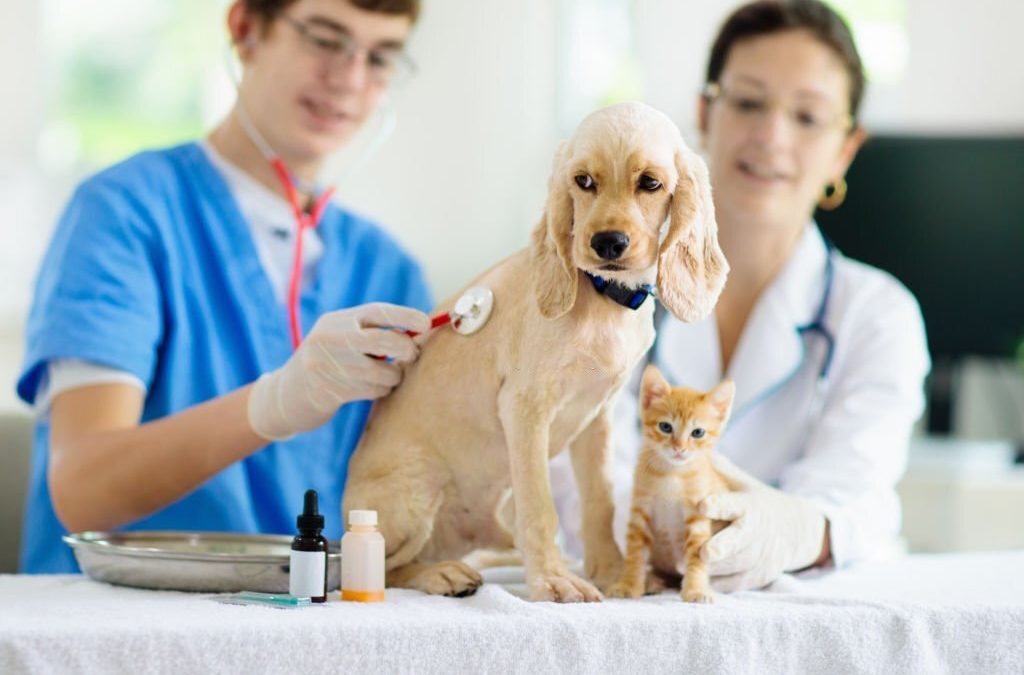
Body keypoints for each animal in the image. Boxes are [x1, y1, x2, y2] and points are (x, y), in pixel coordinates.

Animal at [606, 366, 737, 606]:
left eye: (698, 432)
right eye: (665, 427)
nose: (679, 449)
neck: (671, 475)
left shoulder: (698, 517)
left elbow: (696, 557)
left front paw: (695, 589)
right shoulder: (640, 512)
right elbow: (634, 554)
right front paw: (629, 584)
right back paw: (652, 581)